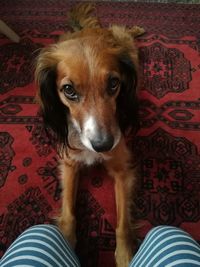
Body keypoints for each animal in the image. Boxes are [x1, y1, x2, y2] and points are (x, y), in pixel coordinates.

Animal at [35, 3, 144, 266]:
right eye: (68, 90)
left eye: (114, 83)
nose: (103, 145)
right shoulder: (69, 164)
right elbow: (68, 215)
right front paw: (65, 244)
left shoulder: (122, 169)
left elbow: (123, 224)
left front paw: (124, 255)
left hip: (128, 47)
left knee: (124, 31)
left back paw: (135, 29)